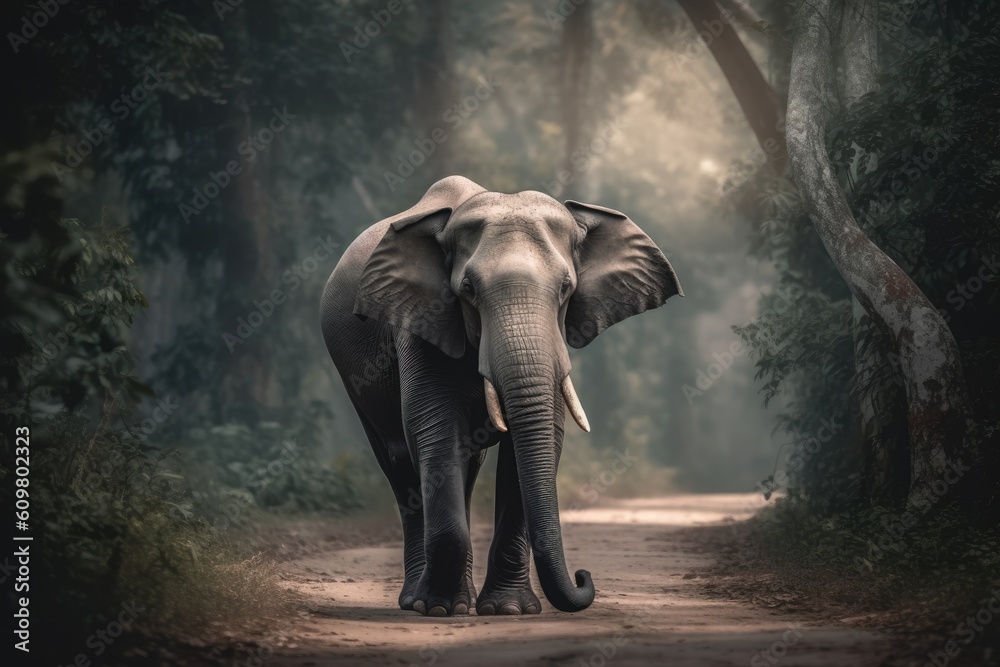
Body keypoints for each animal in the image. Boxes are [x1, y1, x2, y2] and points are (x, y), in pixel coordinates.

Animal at [320, 175, 682, 617]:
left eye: (566, 288)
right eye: (468, 290)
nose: (584, 576)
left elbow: (540, 440)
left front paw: (509, 610)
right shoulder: (421, 322)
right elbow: (433, 430)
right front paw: (438, 609)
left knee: (466, 463)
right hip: (355, 383)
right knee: (399, 463)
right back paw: (417, 601)